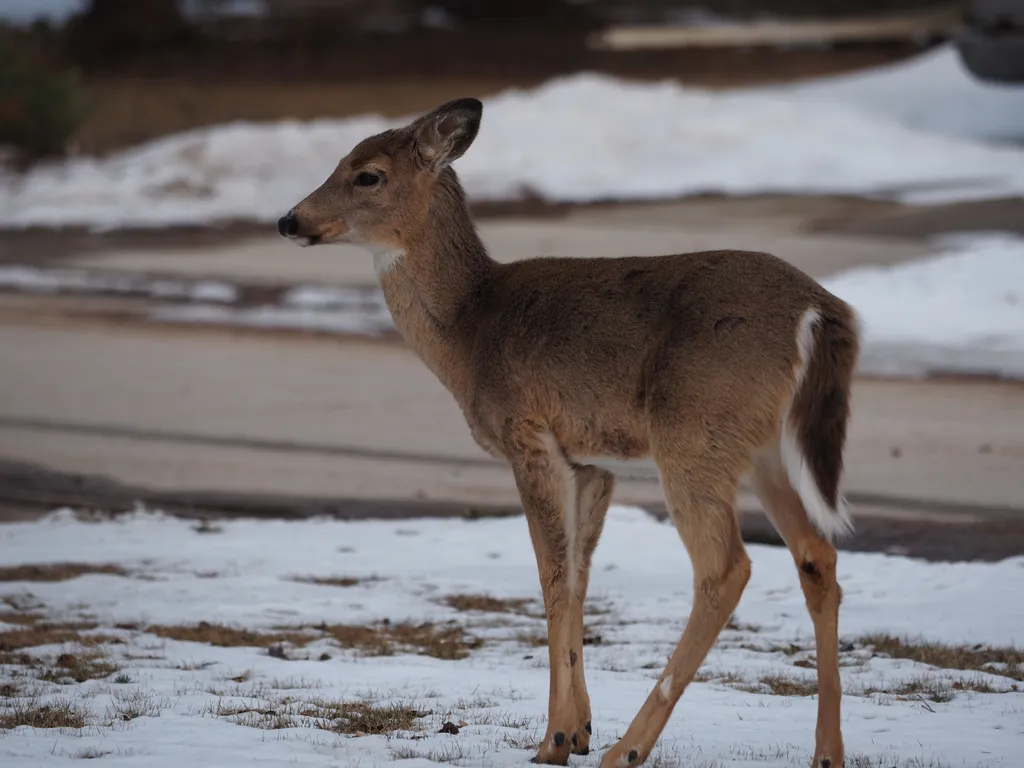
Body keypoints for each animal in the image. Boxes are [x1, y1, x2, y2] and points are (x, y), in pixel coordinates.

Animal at [278, 97, 856, 768]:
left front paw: (553, 738)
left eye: (366, 174)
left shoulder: (528, 434)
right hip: (765, 449)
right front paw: (577, 728)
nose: (289, 219)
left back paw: (628, 749)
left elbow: (552, 577)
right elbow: (579, 578)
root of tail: (818, 312)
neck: (469, 331)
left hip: (695, 430)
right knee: (817, 557)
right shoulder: (592, 459)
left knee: (725, 568)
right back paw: (826, 752)